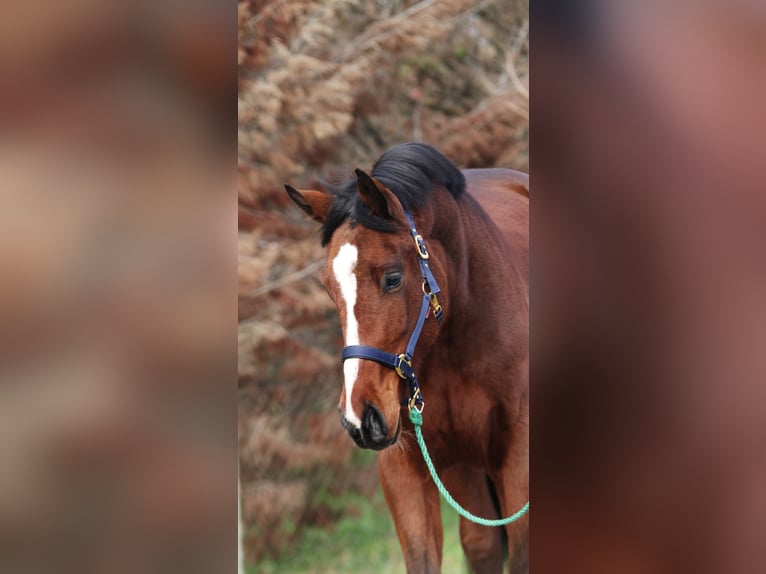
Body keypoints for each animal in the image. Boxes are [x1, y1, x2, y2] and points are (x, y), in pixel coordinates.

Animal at [284, 143, 532, 572]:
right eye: (329, 288)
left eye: (393, 278)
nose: (359, 418)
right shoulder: (403, 469)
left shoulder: (519, 457)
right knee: (481, 545)